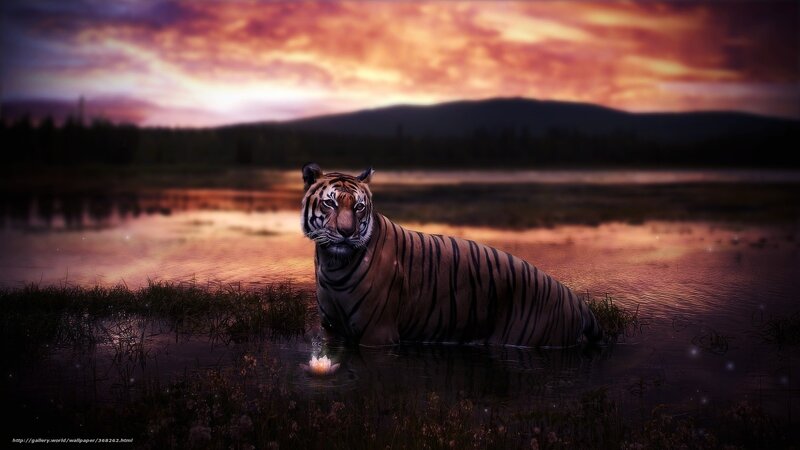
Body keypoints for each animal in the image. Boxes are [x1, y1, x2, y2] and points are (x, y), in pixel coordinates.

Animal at [301, 163, 603, 348]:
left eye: (360, 207)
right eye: (330, 203)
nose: (346, 232)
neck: (333, 265)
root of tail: (582, 305)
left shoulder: (378, 333)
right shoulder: (331, 331)